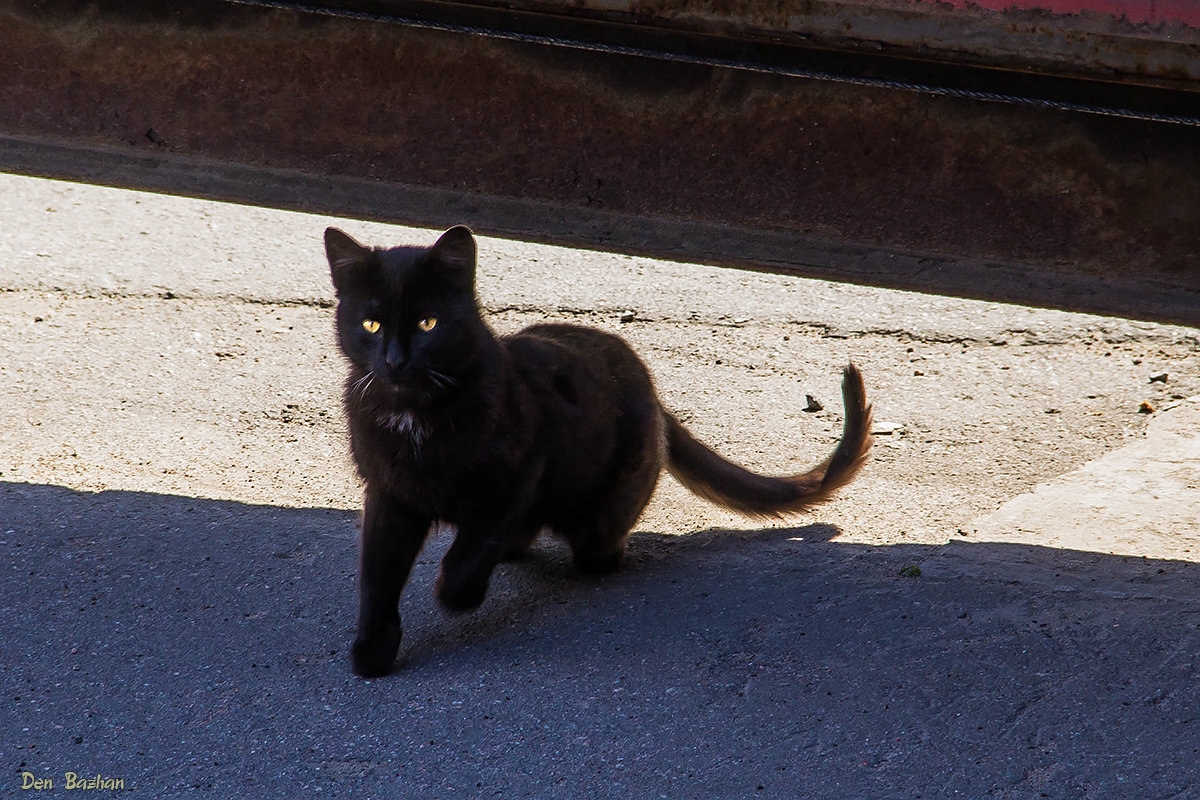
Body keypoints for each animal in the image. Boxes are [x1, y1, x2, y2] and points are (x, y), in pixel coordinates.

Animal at [328, 225, 873, 676]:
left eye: (428, 323)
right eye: (372, 325)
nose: (395, 361)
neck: (416, 417)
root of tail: (652, 390)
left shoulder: (521, 471)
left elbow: (471, 548)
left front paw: (455, 594)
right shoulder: (389, 493)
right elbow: (377, 573)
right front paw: (373, 651)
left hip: (610, 498)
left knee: (588, 544)